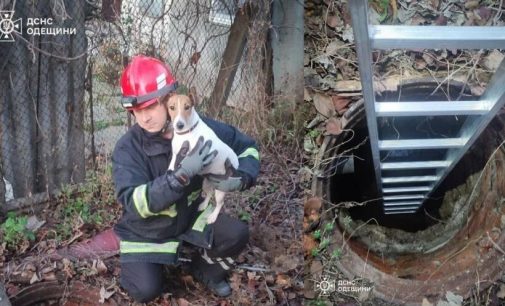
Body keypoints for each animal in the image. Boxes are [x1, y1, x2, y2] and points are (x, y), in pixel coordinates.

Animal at [164, 94, 237, 224]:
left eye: (187, 107)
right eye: (172, 107)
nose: (179, 125)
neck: (186, 133)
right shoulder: (176, 154)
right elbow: (172, 165)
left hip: (221, 189)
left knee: (220, 203)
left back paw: (213, 217)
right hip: (207, 183)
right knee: (209, 194)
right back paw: (203, 205)